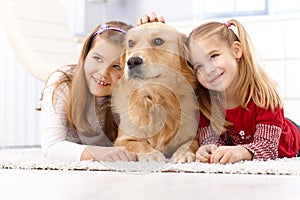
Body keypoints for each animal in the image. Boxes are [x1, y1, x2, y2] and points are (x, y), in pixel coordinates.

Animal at [112, 22, 199, 162]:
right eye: (131, 43)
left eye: (158, 41)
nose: (132, 61)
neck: (155, 99)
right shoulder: (123, 139)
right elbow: (139, 144)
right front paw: (151, 155)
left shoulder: (192, 135)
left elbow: (187, 145)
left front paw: (183, 154)